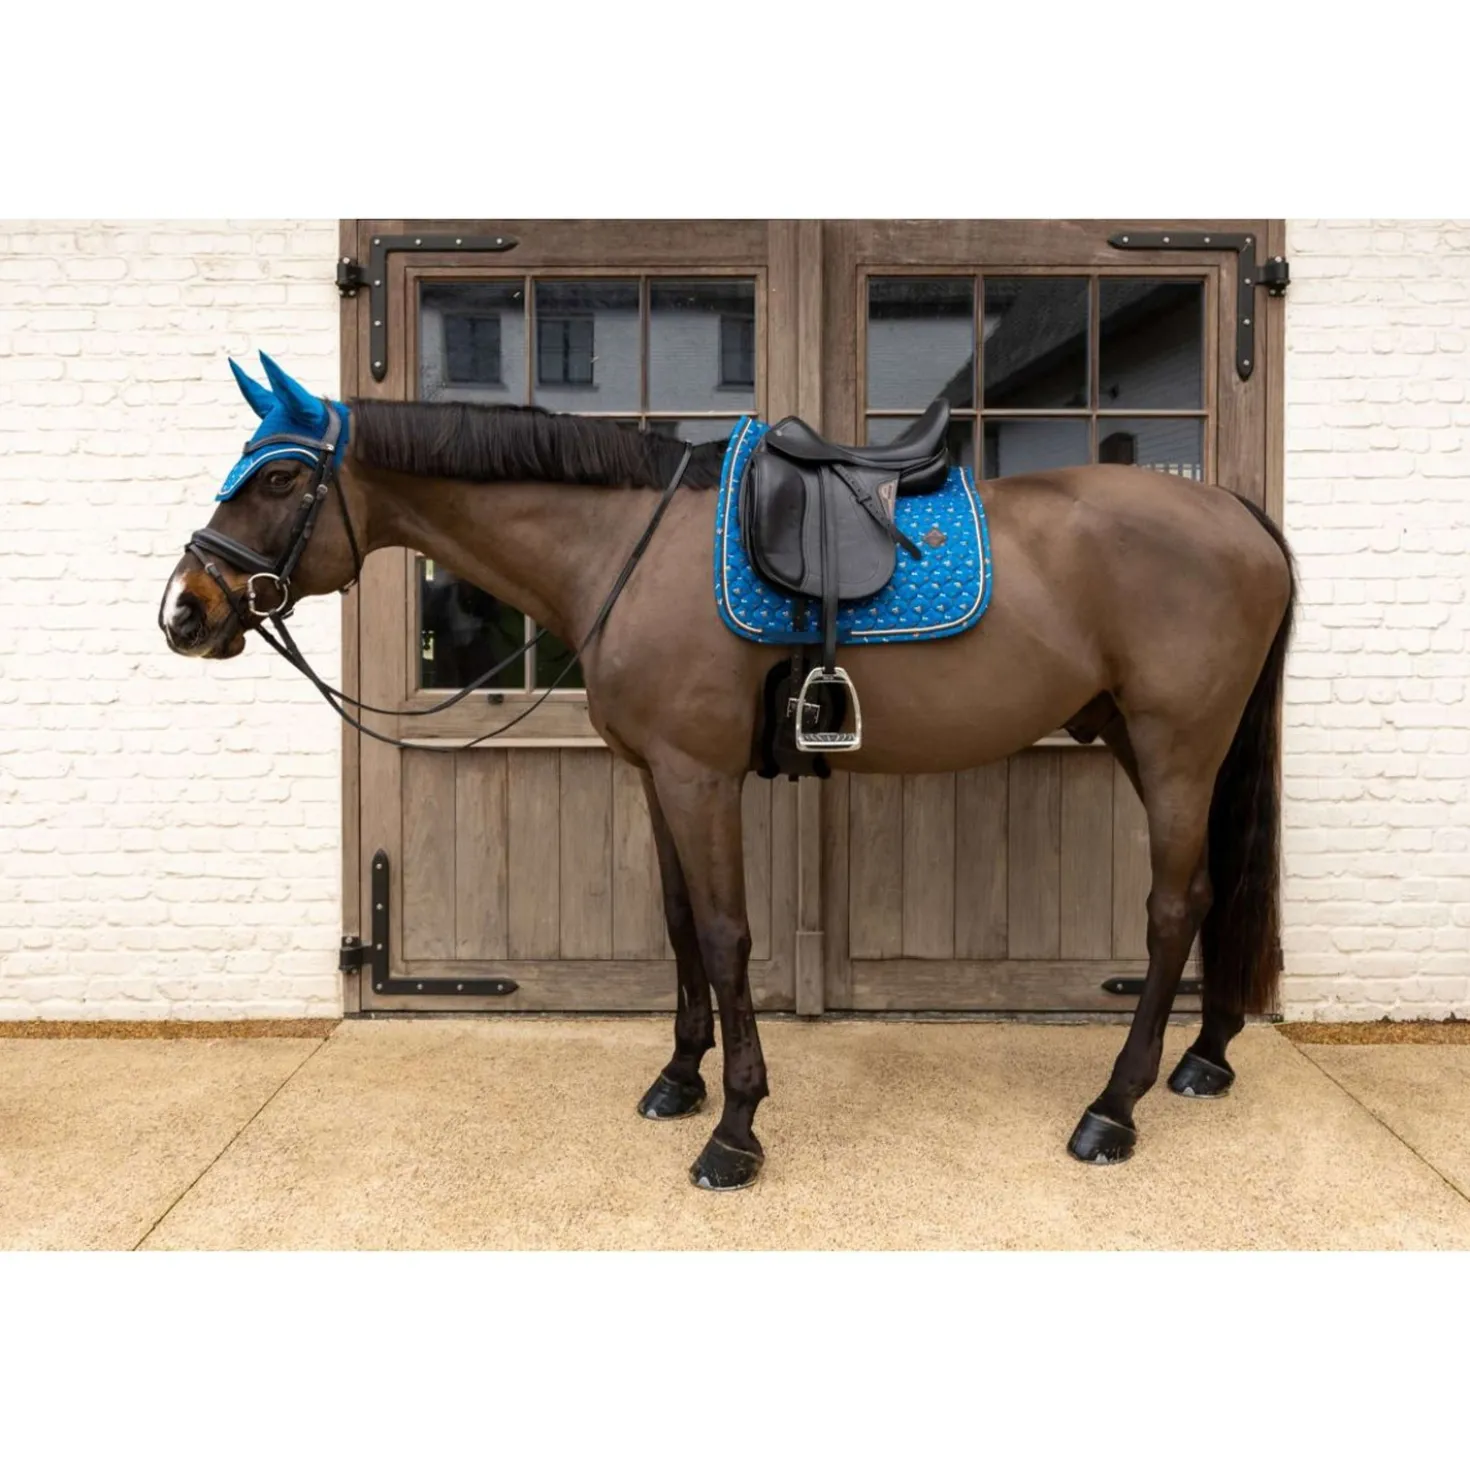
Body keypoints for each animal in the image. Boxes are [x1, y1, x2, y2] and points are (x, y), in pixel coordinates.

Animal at [160, 354, 1295, 1191]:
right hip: (1161, 742)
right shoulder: (655, 774)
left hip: (1176, 746)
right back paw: (1205, 1056)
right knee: (1217, 890)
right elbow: (676, 926)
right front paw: (679, 1080)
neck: (623, 545)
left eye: (278, 477)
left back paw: (1112, 1108)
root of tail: (1240, 514)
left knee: (1173, 906)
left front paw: (737, 1129)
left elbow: (723, 932)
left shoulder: (699, 775)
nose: (185, 610)